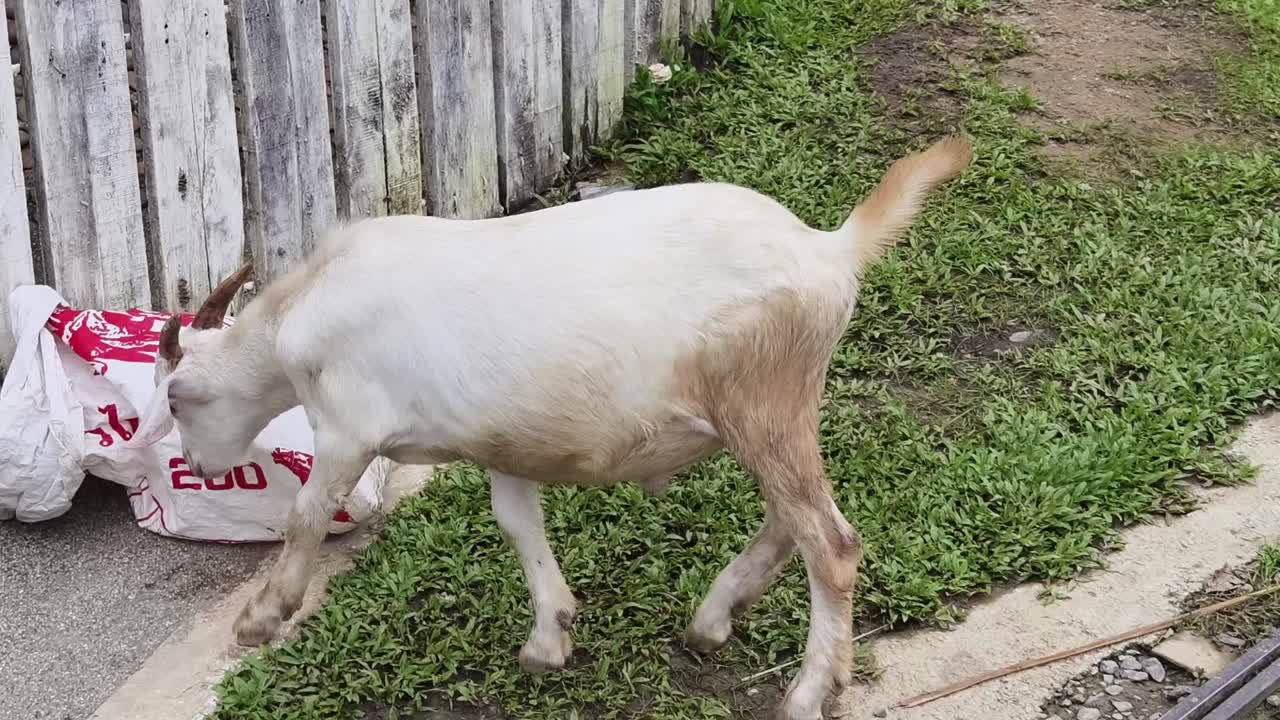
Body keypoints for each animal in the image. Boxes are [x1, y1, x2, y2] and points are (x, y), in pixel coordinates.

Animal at [131, 135, 972, 720]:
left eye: (176, 399)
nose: (200, 469)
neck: (302, 312)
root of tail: (827, 250)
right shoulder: (502, 440)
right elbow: (517, 523)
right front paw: (550, 635)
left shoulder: (348, 426)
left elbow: (306, 515)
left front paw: (261, 618)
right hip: (779, 408)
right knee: (791, 519)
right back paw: (714, 617)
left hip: (763, 399)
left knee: (830, 541)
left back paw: (805, 690)